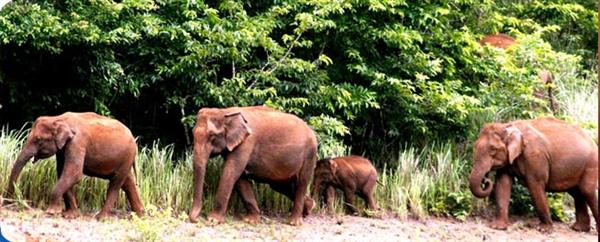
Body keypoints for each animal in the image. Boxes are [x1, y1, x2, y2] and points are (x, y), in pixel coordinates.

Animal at [5, 111, 143, 219]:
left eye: (38, 139)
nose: (7, 203)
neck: (58, 118)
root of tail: (133, 139)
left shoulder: (77, 142)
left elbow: (74, 173)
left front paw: (51, 212)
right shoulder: (63, 149)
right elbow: (62, 172)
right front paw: (70, 215)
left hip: (127, 156)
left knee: (116, 183)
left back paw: (102, 218)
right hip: (125, 159)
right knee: (127, 182)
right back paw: (140, 215)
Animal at [189, 105, 318, 225]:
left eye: (211, 136)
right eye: (192, 133)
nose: (196, 220)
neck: (225, 112)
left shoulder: (246, 144)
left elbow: (230, 173)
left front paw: (213, 220)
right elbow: (240, 178)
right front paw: (250, 220)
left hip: (310, 154)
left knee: (301, 183)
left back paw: (293, 222)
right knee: (281, 186)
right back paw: (309, 208)